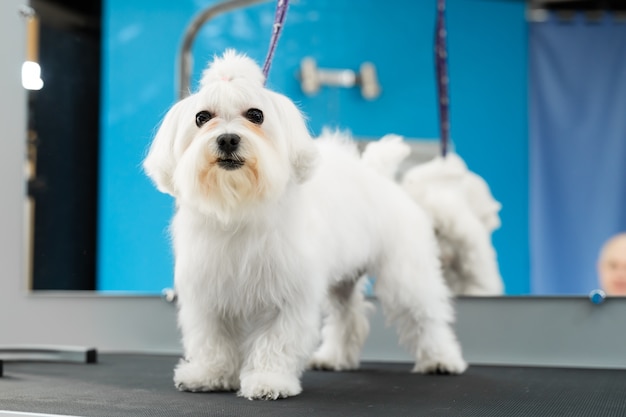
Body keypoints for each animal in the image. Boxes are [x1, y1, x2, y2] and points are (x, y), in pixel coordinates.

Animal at [141, 51, 464, 400]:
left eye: (256, 115)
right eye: (202, 117)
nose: (227, 138)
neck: (240, 207)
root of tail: (380, 176)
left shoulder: (287, 294)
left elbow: (276, 341)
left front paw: (269, 381)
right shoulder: (208, 293)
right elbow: (212, 340)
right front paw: (209, 374)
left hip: (406, 274)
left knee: (426, 317)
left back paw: (442, 359)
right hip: (343, 279)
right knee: (348, 317)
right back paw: (335, 357)